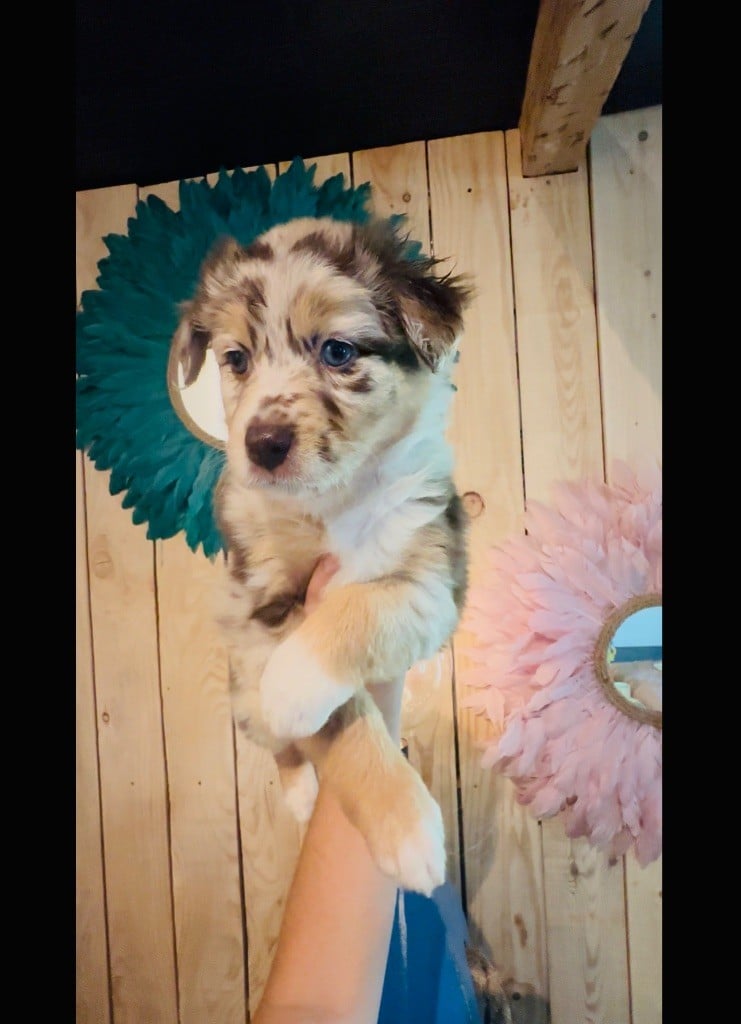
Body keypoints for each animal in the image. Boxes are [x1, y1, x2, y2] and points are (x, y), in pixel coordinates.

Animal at [171, 215, 472, 895]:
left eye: (338, 352)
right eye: (236, 359)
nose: (262, 444)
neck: (335, 498)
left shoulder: (431, 576)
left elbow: (361, 609)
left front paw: (294, 683)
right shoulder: (257, 603)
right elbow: (339, 726)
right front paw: (409, 829)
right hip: (238, 678)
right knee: (273, 740)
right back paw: (303, 795)